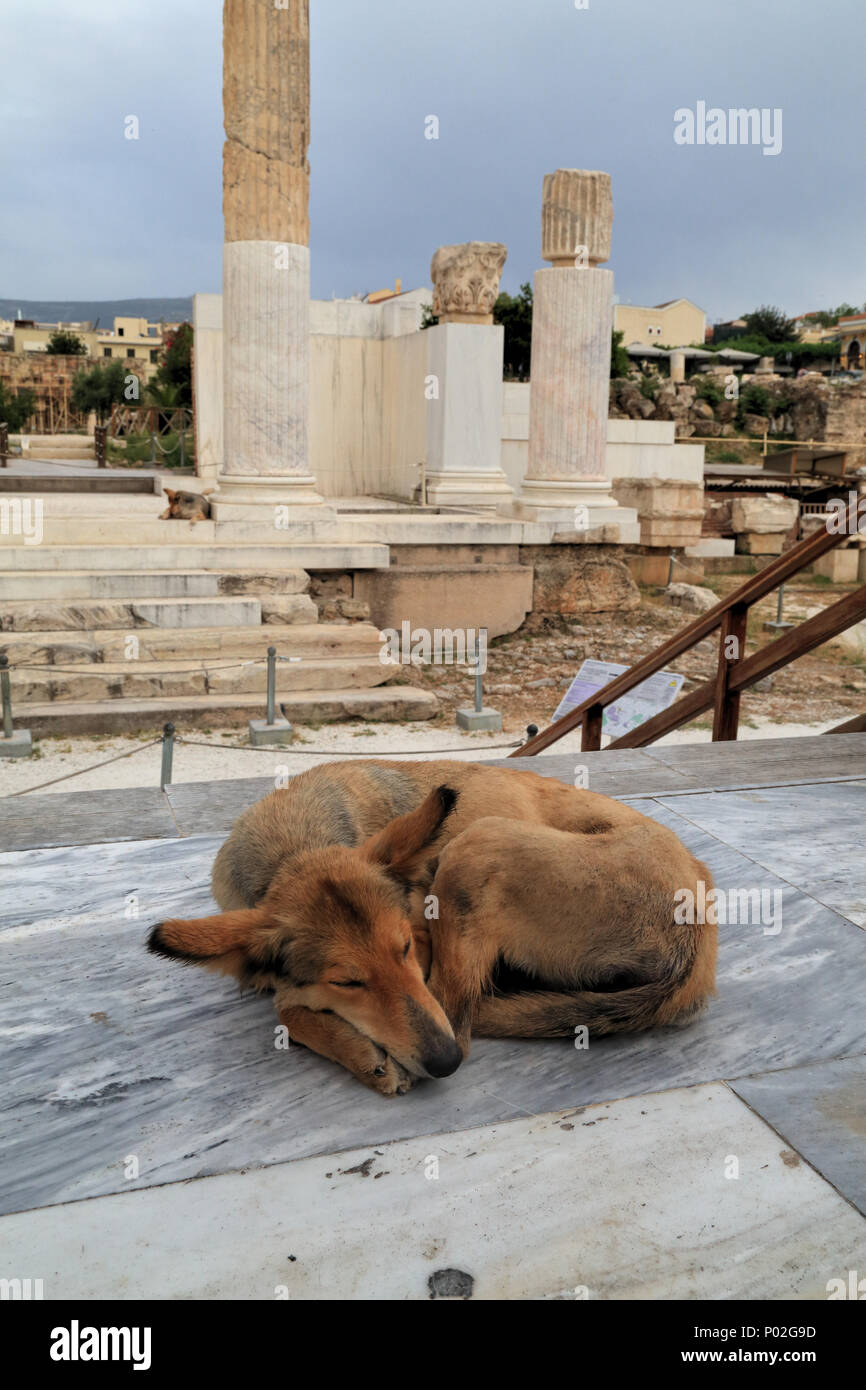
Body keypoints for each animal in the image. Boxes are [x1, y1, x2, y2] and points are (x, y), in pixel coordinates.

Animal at [147, 761, 717, 1095]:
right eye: (348, 981)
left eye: (405, 949)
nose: (444, 1062)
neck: (294, 840)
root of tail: (696, 940)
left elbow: (287, 1007)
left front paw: (361, 1054)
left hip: (476, 844)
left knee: (458, 1012)